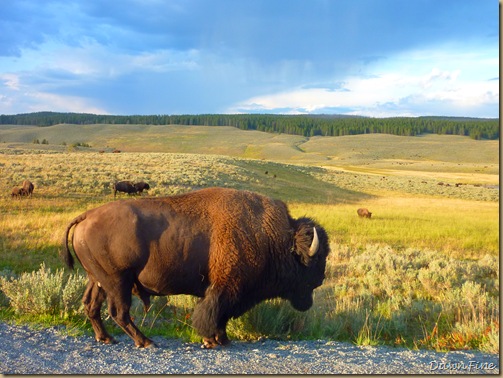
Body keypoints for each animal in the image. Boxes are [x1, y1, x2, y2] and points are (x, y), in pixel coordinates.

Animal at [62, 188, 330, 350]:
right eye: (314, 259)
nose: (320, 279)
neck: (273, 238)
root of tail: (86, 216)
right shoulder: (227, 288)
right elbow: (215, 314)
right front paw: (213, 341)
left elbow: (220, 316)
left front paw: (220, 340)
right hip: (118, 281)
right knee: (119, 312)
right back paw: (146, 342)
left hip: (98, 280)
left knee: (92, 305)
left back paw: (106, 338)